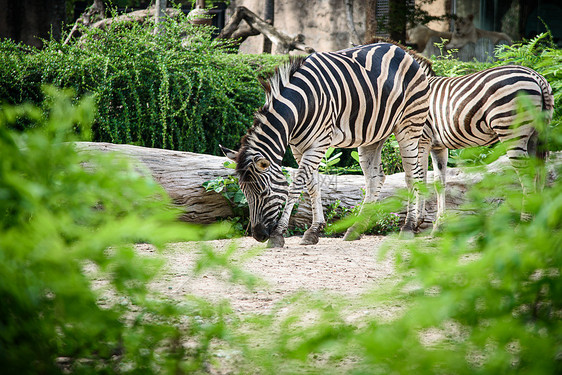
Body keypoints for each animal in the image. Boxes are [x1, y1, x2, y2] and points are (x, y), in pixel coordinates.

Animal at [220, 42, 428, 248]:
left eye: (264, 192)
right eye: (244, 193)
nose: (258, 235)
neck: (301, 105)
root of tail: (402, 50)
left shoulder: (318, 144)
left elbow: (296, 186)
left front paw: (278, 234)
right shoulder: (298, 147)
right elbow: (313, 185)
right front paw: (314, 230)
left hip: (409, 127)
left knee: (413, 175)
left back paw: (409, 227)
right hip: (373, 135)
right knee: (376, 178)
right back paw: (356, 229)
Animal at [368, 38, 552, 232]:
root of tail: (536, 76)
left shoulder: (422, 140)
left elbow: (420, 178)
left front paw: (417, 221)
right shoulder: (438, 145)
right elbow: (439, 181)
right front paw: (438, 224)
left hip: (512, 131)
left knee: (526, 173)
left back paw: (524, 221)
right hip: (535, 135)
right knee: (539, 170)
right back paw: (537, 219)